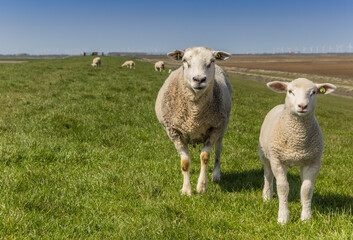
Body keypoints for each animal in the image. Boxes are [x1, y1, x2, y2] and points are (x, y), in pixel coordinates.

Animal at [154, 46, 231, 195]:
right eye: (184, 60)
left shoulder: (214, 128)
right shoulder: (174, 131)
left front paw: (202, 187)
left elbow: (205, 157)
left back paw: (216, 175)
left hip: (223, 127)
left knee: (218, 151)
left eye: (212, 61)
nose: (199, 79)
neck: (194, 115)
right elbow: (185, 163)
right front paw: (186, 190)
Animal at [258, 78, 336, 224]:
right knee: (268, 175)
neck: (297, 141)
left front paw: (306, 217)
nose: (302, 106)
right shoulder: (277, 161)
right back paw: (267, 196)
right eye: (290, 91)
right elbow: (283, 188)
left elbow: (306, 190)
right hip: (266, 155)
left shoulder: (313, 163)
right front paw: (283, 217)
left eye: (313, 92)